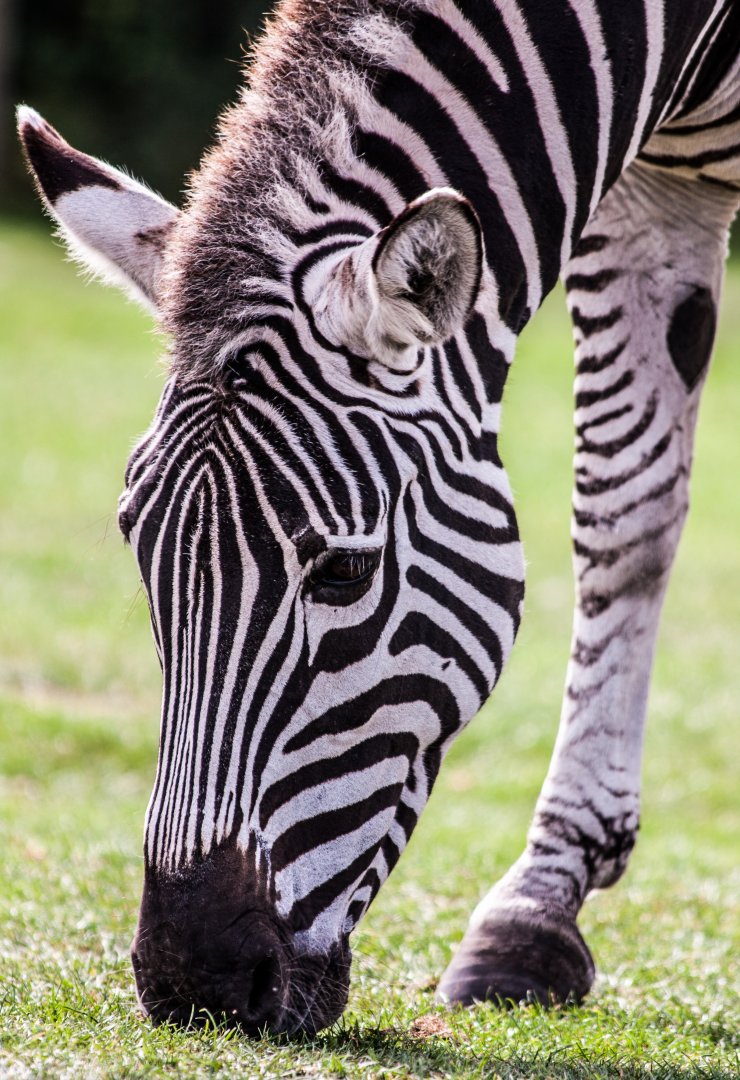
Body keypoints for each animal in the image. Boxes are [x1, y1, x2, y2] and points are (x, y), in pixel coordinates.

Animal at [18, 0, 739, 1036]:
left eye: (345, 572)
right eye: (138, 549)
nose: (195, 984)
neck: (667, 40)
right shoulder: (649, 196)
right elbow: (626, 516)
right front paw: (539, 905)